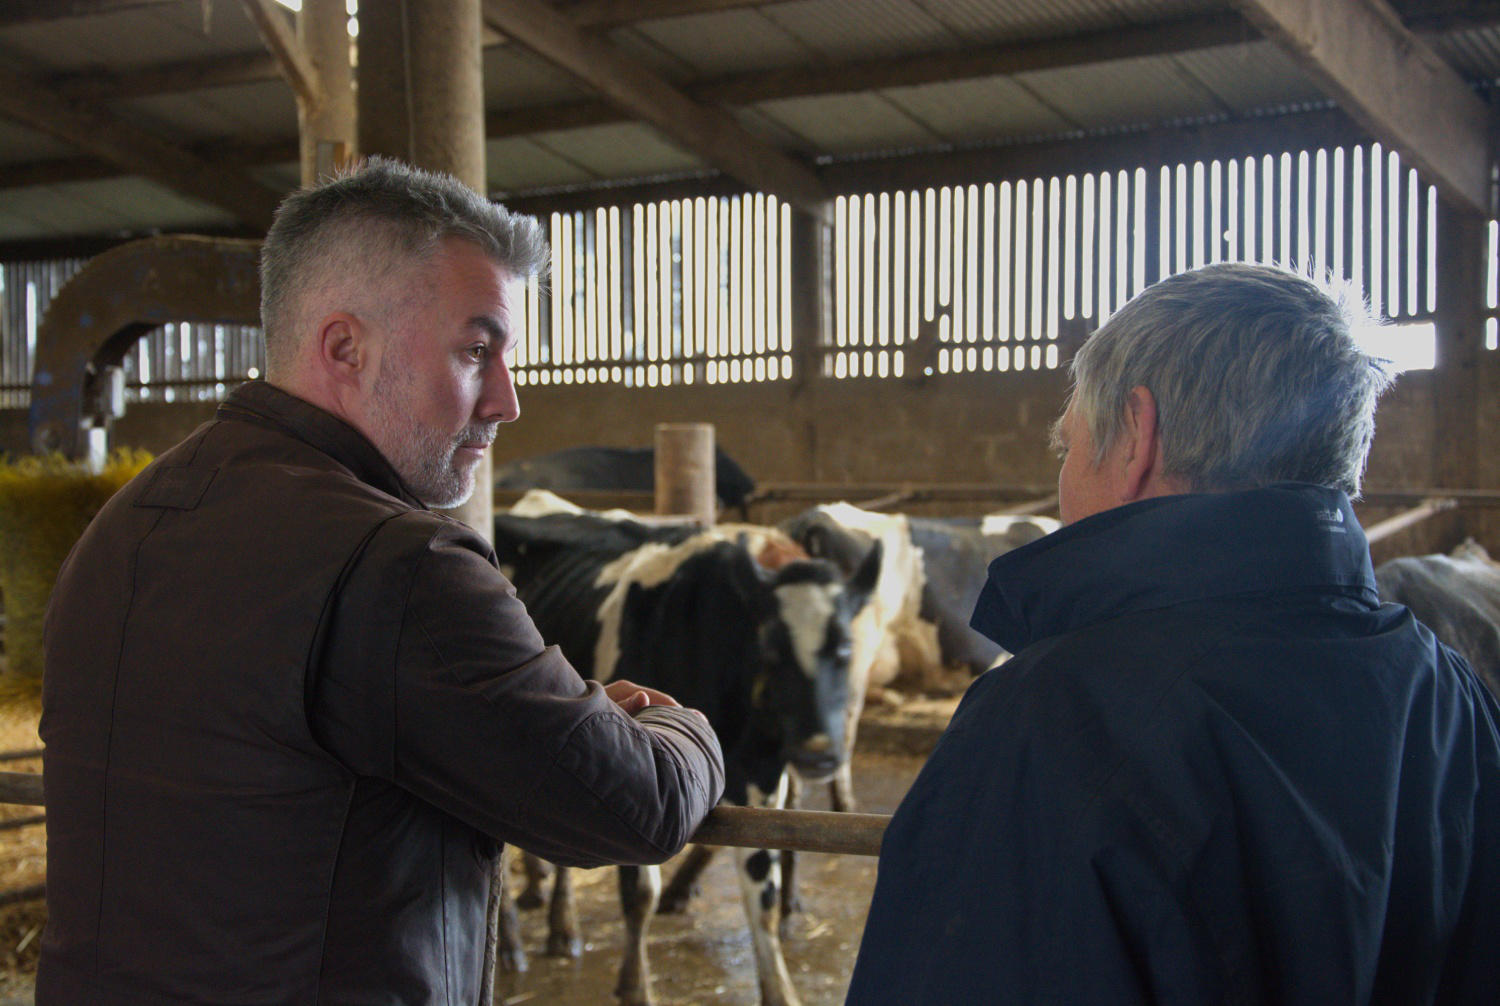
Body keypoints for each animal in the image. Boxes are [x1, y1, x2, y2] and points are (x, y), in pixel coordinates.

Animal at [489, 503, 876, 1006]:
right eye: (773, 650)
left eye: (845, 649)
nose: (819, 755)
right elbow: (639, 894)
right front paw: (634, 985)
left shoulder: (764, 778)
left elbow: (764, 897)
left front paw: (780, 990)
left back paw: (561, 926)